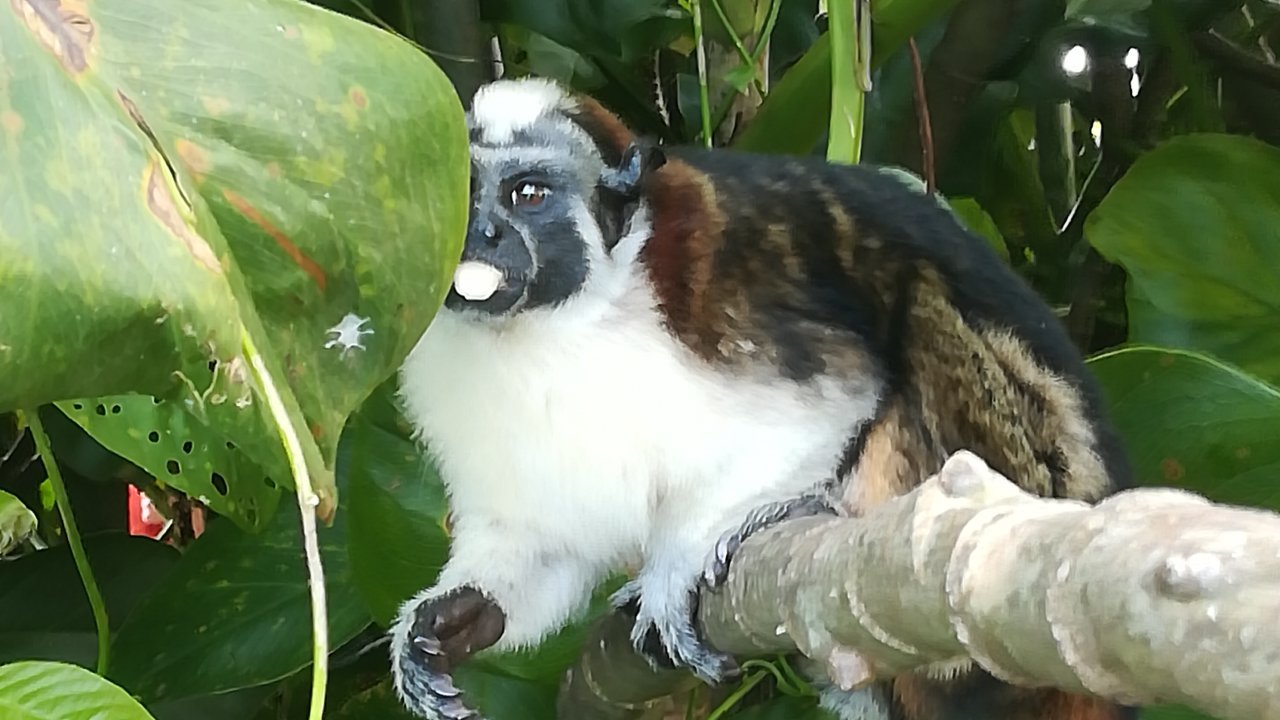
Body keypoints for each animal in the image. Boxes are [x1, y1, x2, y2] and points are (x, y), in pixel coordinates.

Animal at [388, 77, 1136, 720]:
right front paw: (452, 619)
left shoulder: (728, 297)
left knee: (922, 302)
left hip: (1028, 471)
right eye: (466, 194)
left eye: (527, 195)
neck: (570, 314)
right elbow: (544, 541)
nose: (479, 235)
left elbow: (833, 400)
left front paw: (676, 561)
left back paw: (813, 510)